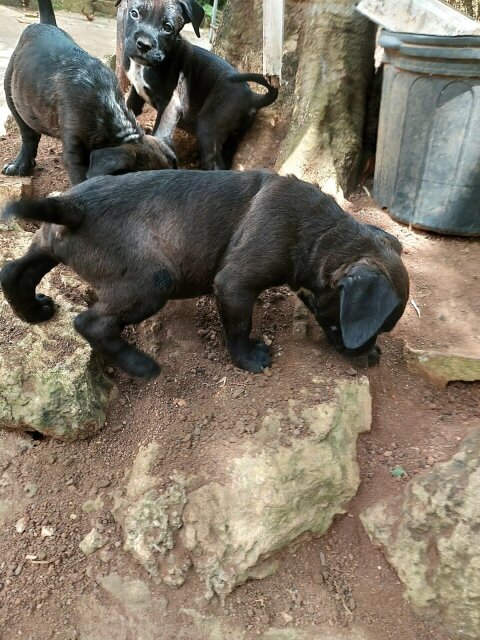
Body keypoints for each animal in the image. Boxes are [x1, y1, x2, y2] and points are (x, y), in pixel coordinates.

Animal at [0, 171, 408, 380]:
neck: (320, 234)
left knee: (14, 270)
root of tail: (73, 207)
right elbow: (239, 327)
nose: (370, 354)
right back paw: (141, 366)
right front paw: (248, 359)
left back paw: (32, 311)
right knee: (91, 323)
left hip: (47, 244)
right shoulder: (235, 286)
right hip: (152, 282)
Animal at [118, 0, 280, 170]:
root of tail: (252, 97)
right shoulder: (135, 92)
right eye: (134, 13)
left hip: (208, 127)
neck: (143, 67)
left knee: (216, 165)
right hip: (233, 136)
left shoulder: (170, 106)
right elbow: (128, 110)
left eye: (168, 27)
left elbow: (160, 135)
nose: (144, 44)